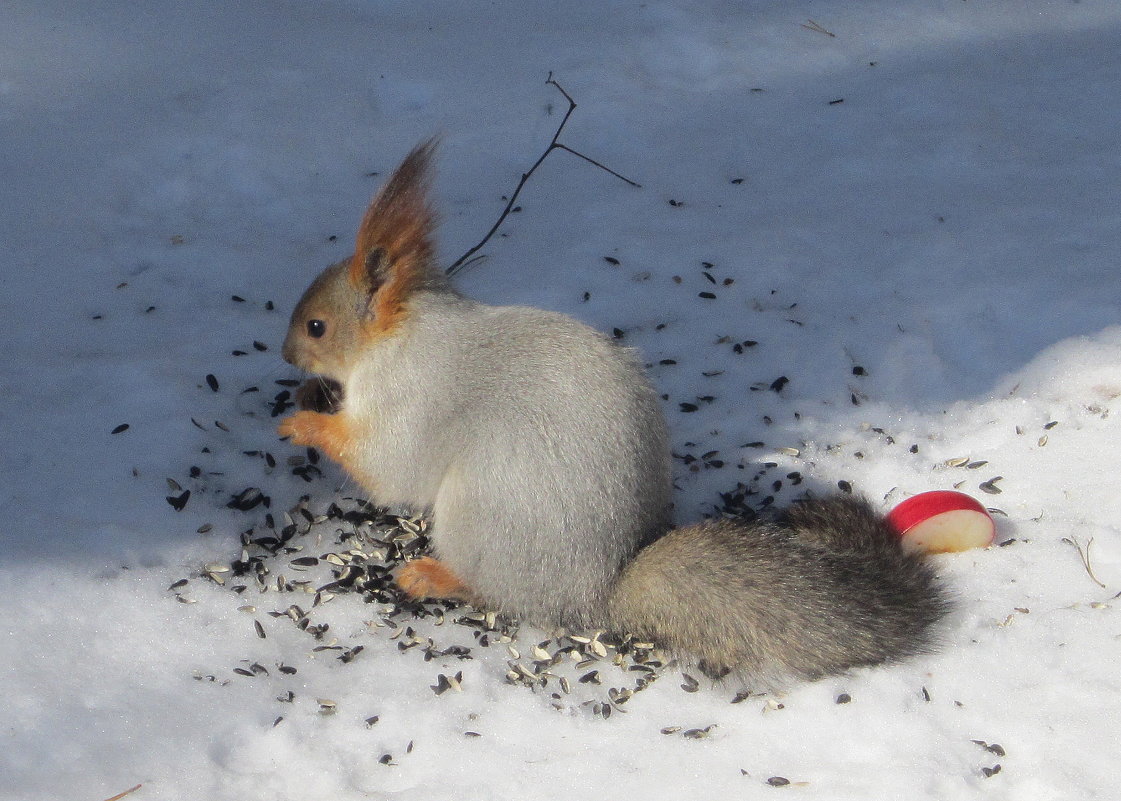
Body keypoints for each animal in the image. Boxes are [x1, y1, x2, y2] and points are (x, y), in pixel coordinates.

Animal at [278, 139, 946, 681]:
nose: (286, 354)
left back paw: (434, 576)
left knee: (497, 592)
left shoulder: (409, 394)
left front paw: (301, 422)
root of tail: (599, 591)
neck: (400, 333)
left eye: (316, 326)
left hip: (479, 516)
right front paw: (310, 400)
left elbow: (388, 467)